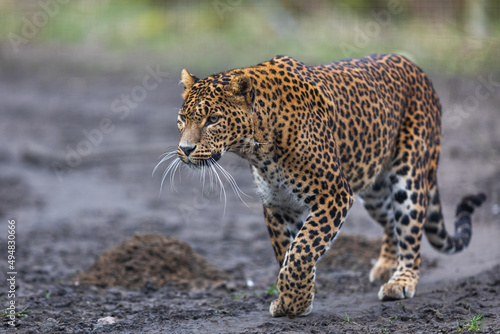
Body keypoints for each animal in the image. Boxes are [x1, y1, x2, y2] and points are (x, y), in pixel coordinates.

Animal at [162, 54, 486, 318]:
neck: (257, 147)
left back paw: (401, 281)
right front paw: (295, 300)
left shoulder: (334, 195)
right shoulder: (278, 204)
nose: (185, 149)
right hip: (374, 191)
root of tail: (415, 68)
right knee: (390, 221)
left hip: (409, 176)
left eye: (213, 119)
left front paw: (293, 301)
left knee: (411, 231)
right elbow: (287, 251)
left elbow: (302, 249)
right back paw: (384, 265)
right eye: (182, 119)